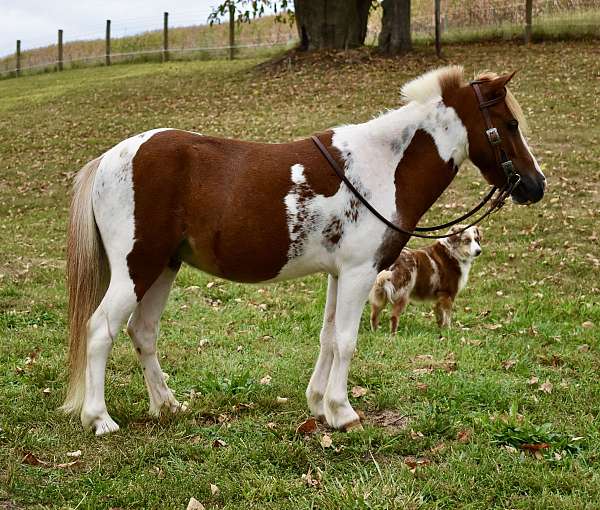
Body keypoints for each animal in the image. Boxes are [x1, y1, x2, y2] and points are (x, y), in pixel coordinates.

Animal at [63, 65, 548, 434]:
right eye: (510, 125)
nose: (536, 185)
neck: (382, 166)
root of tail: (107, 159)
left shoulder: (340, 274)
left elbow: (329, 337)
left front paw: (319, 404)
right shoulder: (359, 272)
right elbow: (348, 341)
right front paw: (343, 412)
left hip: (164, 266)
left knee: (142, 332)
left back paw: (167, 405)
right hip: (137, 267)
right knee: (100, 329)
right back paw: (99, 418)